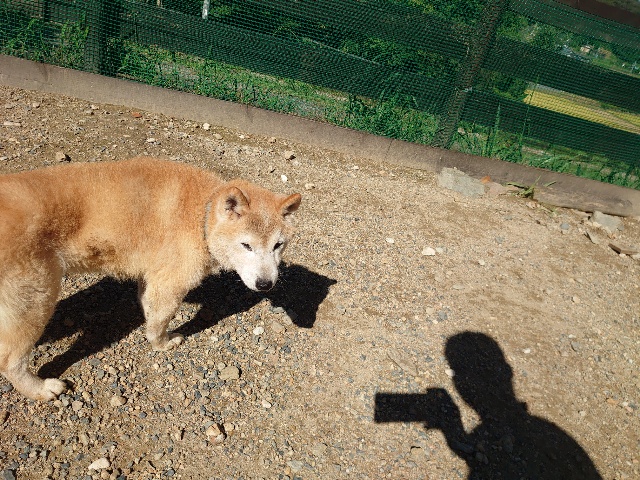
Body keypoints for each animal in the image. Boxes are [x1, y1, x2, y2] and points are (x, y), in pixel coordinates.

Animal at [0, 156, 301, 400]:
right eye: (246, 245)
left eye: (278, 245)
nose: (266, 284)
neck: (201, 214)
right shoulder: (171, 283)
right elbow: (160, 321)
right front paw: (162, 344)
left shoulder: (154, 275)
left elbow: (149, 307)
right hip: (35, 298)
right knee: (10, 360)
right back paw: (40, 389)